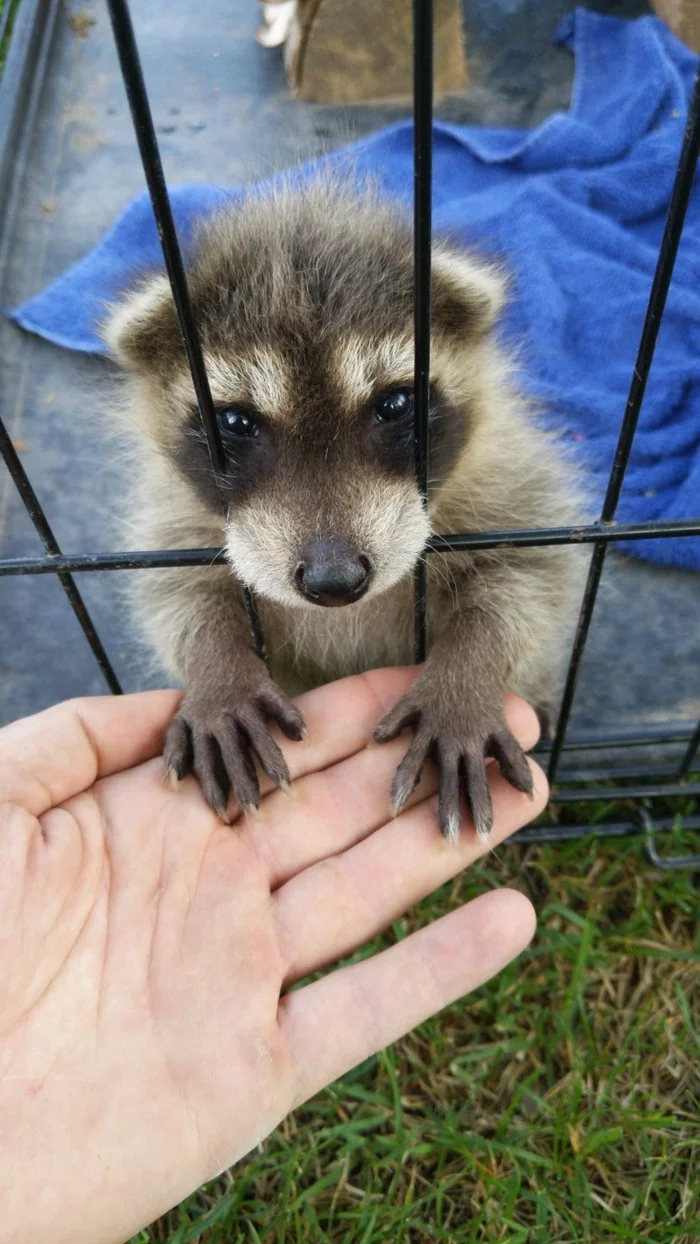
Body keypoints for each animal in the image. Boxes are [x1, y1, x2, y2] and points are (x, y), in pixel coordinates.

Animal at [103, 177, 584, 835]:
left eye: (395, 405)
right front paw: (218, 670)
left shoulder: (507, 476)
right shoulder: (175, 511)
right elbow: (177, 592)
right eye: (236, 421)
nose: (334, 580)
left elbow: (530, 575)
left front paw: (464, 676)